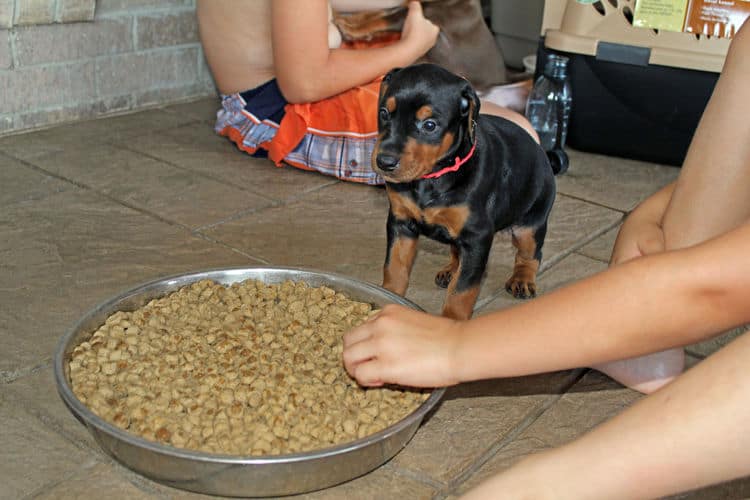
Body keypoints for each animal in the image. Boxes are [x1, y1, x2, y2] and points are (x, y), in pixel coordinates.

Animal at [376, 63, 560, 320]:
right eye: (384, 113)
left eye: (429, 125)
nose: (384, 162)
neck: (432, 178)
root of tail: (540, 149)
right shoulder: (401, 223)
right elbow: (394, 267)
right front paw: (388, 297)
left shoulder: (477, 237)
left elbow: (462, 290)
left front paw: (451, 322)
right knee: (456, 251)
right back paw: (450, 270)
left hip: (531, 224)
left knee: (531, 254)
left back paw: (522, 279)